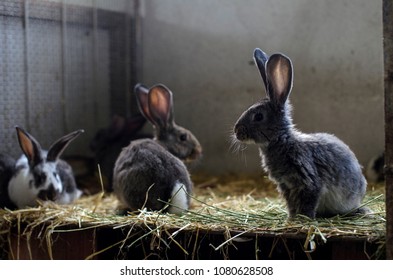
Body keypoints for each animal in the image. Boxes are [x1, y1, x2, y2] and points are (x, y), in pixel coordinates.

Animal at [231, 48, 366, 219]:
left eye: (259, 116)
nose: (236, 132)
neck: (282, 140)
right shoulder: (286, 185)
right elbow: (292, 204)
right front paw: (291, 218)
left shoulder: (307, 180)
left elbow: (308, 201)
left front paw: (303, 219)